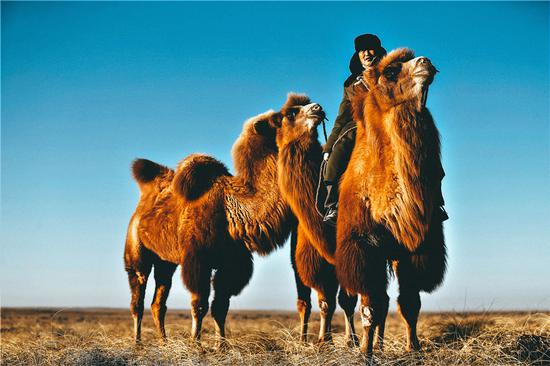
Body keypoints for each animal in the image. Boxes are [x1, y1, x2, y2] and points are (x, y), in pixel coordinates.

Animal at [124, 105, 298, 344]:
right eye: (279, 117)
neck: (232, 210)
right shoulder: (199, 260)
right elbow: (199, 305)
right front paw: (196, 343)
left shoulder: (232, 264)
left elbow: (220, 307)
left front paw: (221, 345)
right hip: (136, 253)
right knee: (137, 299)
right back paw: (138, 342)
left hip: (165, 261)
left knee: (158, 302)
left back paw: (163, 341)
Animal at [274, 93, 360, 344]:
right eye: (291, 113)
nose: (317, 108)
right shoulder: (316, 266)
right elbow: (325, 303)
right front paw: (324, 340)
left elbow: (347, 301)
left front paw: (351, 340)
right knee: (304, 303)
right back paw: (304, 338)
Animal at [334, 47, 450, 356]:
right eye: (390, 71)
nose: (426, 62)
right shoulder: (362, 248)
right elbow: (369, 307)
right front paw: (365, 352)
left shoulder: (412, 248)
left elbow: (409, 303)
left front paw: (414, 347)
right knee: (348, 300)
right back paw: (350, 341)